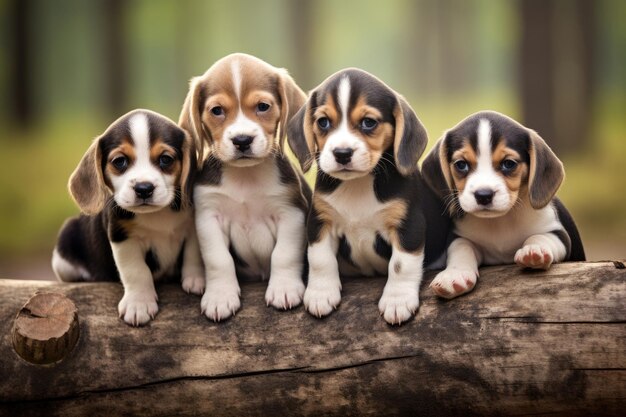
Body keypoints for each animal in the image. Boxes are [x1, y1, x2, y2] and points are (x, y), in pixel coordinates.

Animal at [51, 109, 202, 324]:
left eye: (166, 159)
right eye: (119, 161)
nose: (144, 188)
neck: (157, 214)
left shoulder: (191, 227)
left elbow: (193, 253)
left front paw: (196, 279)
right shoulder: (123, 237)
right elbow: (136, 270)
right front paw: (138, 304)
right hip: (65, 244)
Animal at [178, 51, 310, 318]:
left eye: (263, 107)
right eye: (217, 110)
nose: (242, 140)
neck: (245, 177)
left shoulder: (290, 213)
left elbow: (284, 255)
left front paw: (284, 288)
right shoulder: (209, 217)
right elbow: (218, 260)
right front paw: (220, 296)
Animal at [288, 68, 448, 324]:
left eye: (368, 122)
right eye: (323, 122)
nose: (342, 153)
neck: (358, 184)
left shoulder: (408, 225)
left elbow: (401, 265)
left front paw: (397, 300)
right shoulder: (320, 222)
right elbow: (320, 260)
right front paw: (321, 294)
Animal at [422, 110, 584, 300]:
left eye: (509, 164)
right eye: (461, 165)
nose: (483, 195)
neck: (500, 221)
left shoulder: (560, 235)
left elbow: (540, 236)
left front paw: (534, 250)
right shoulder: (459, 236)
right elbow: (461, 249)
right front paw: (454, 274)